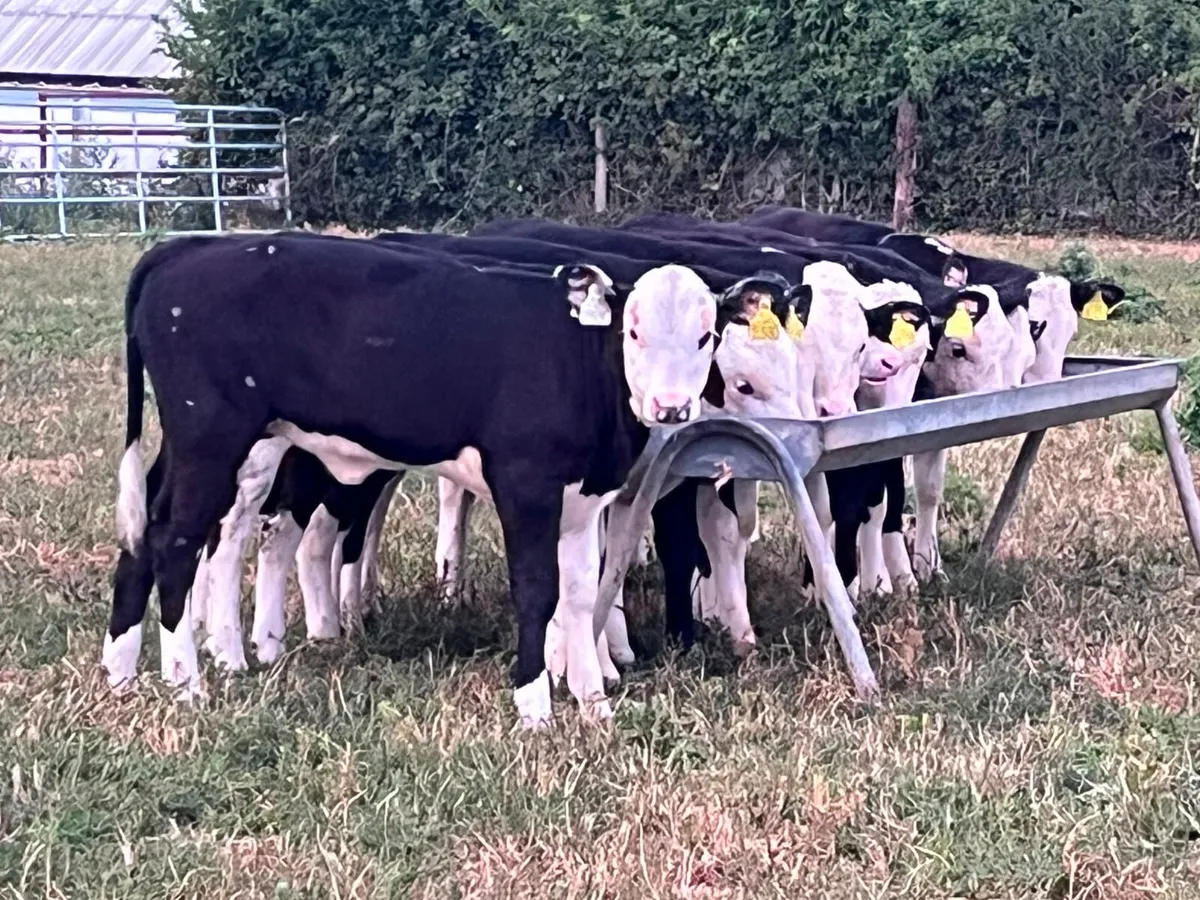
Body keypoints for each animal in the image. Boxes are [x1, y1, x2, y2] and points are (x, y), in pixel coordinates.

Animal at [104, 231, 723, 729]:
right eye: (633, 331)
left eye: (706, 336)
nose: (670, 407)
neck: (577, 361)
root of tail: (187, 248)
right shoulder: (526, 486)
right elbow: (537, 590)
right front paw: (534, 709)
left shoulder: (585, 498)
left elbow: (580, 594)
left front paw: (594, 704)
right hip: (212, 439)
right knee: (175, 541)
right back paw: (186, 682)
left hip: (190, 446)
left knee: (144, 530)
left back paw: (121, 671)